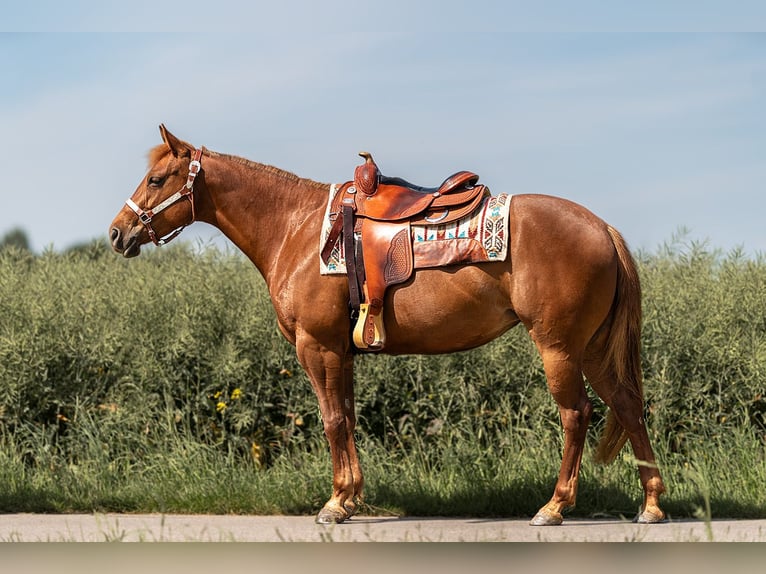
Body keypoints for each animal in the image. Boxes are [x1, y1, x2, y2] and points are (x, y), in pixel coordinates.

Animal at [108, 125, 664, 528]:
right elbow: (348, 419)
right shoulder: (341, 352)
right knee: (627, 405)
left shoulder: (317, 347)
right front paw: (352, 498)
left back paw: (554, 507)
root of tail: (601, 228)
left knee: (576, 414)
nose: (117, 232)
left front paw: (335, 504)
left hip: (559, 347)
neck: (295, 227)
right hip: (592, 348)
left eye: (156, 180)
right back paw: (652, 504)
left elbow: (333, 420)